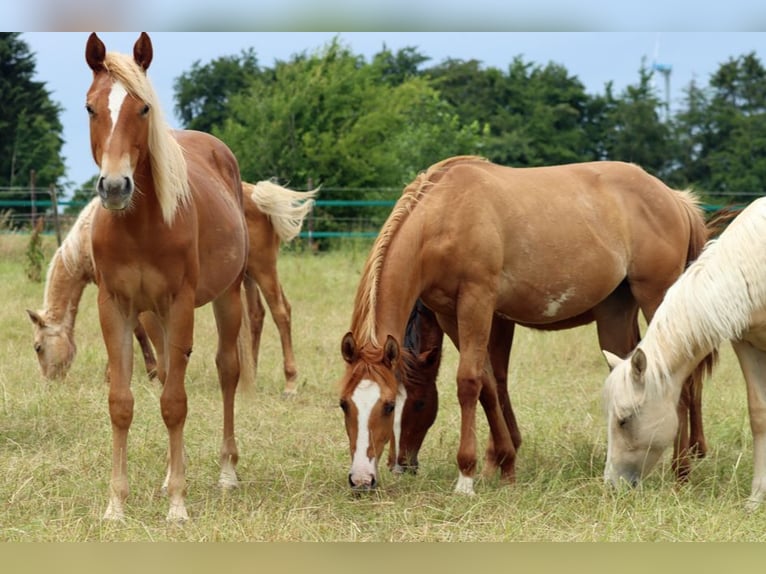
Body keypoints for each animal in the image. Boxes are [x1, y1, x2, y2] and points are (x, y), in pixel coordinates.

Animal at [26, 180, 316, 395]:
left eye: (38, 347)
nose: (48, 386)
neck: (91, 234)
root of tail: (257, 194)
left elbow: (139, 331)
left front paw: (132, 374)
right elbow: (136, 331)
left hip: (263, 268)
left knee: (281, 312)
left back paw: (290, 383)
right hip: (246, 277)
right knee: (256, 316)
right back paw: (250, 375)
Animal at [85, 32, 250, 522]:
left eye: (143, 108)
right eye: (90, 108)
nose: (114, 187)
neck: (140, 226)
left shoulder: (180, 304)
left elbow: (176, 404)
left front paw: (178, 505)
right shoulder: (116, 307)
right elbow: (122, 403)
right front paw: (116, 505)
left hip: (228, 298)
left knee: (227, 371)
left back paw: (226, 472)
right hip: (154, 315)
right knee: (165, 373)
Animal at [338, 155, 712, 495]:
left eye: (395, 405)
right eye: (344, 404)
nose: (364, 479)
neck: (445, 216)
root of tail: (673, 198)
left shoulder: (478, 302)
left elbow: (469, 382)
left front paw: (467, 476)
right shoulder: (451, 314)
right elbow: (490, 383)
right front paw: (506, 465)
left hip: (657, 298)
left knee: (683, 382)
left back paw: (681, 472)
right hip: (615, 313)